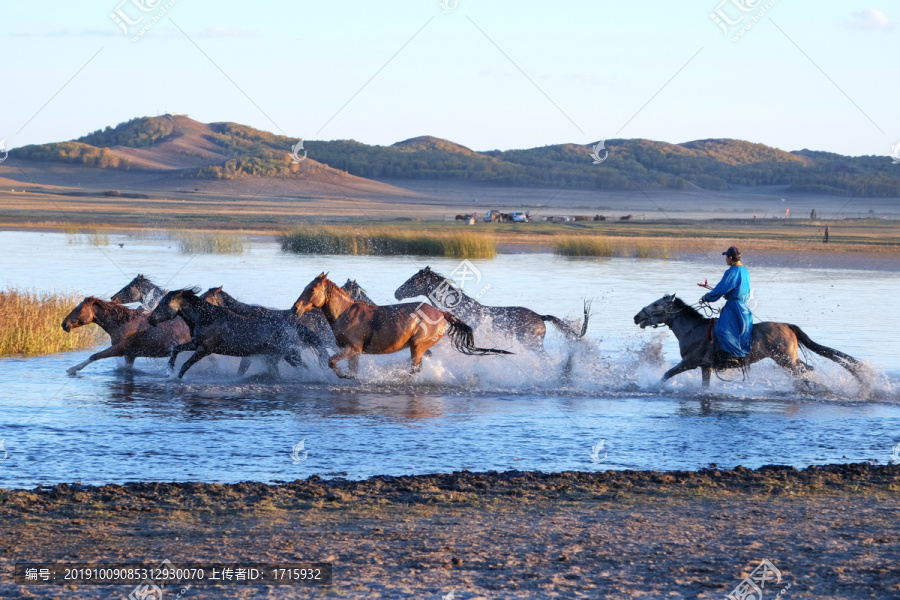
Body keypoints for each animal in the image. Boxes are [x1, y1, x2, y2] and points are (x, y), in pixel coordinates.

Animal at [60, 296, 191, 376]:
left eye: (79, 309)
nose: (64, 324)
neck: (123, 323)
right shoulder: (130, 354)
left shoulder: (120, 349)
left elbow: (94, 356)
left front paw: (73, 369)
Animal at [292, 274, 510, 380]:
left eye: (311, 289)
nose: (295, 308)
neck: (345, 312)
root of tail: (441, 313)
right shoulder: (353, 352)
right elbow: (351, 370)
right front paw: (350, 377)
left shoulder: (353, 349)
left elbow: (331, 362)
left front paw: (344, 375)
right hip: (419, 347)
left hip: (418, 346)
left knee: (415, 368)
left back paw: (397, 375)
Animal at [632, 296, 864, 390]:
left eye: (656, 304)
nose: (636, 317)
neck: (692, 329)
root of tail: (788, 326)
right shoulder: (706, 366)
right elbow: (704, 386)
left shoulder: (690, 362)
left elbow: (666, 374)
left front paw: (654, 386)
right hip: (787, 360)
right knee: (804, 371)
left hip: (785, 359)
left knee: (806, 370)